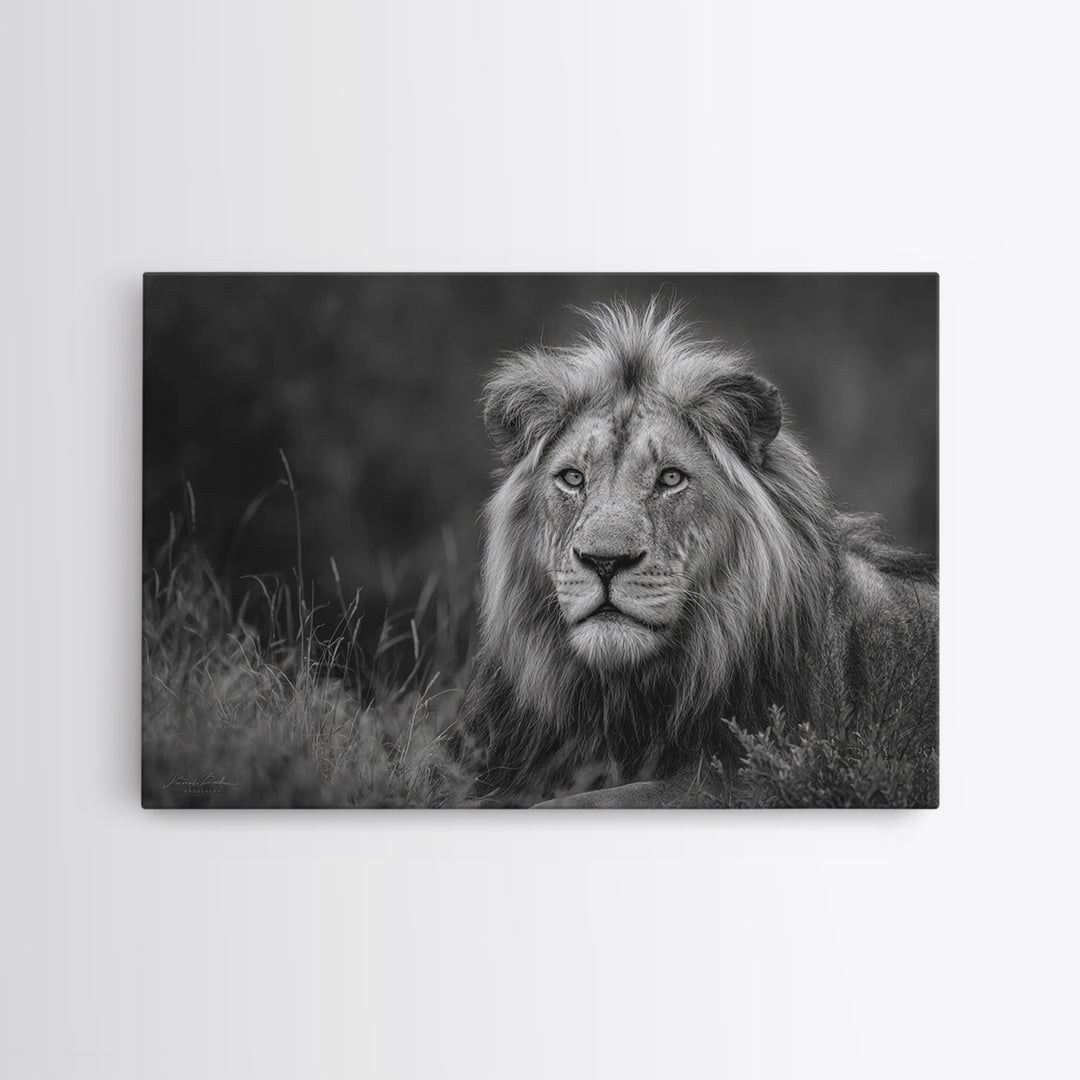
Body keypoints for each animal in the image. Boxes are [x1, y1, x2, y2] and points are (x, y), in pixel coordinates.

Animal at [455, 299, 937, 807]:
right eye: (572, 478)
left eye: (670, 478)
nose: (605, 562)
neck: (620, 698)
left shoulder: (751, 778)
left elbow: (590, 801)